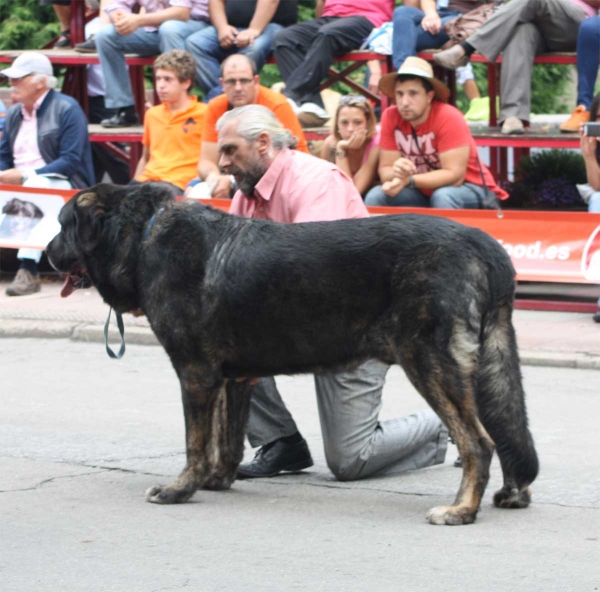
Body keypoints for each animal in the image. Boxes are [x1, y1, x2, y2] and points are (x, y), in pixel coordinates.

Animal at [45, 183, 540, 524]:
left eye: (63, 225)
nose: (46, 254)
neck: (142, 234)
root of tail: (484, 244)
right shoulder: (230, 378)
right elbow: (225, 440)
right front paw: (215, 481)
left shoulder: (195, 373)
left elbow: (195, 442)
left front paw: (181, 489)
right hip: (489, 363)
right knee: (508, 430)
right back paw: (512, 493)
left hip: (431, 363)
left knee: (478, 442)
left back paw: (461, 510)